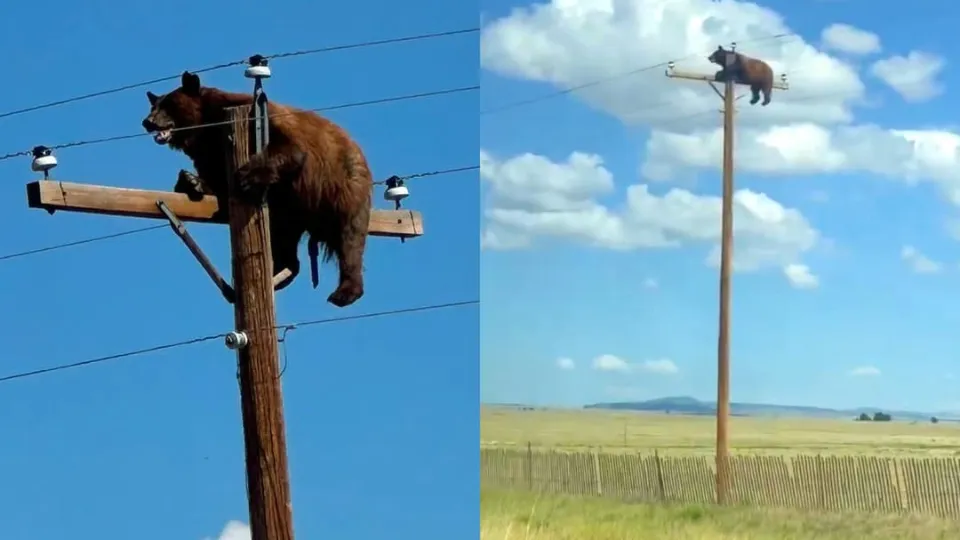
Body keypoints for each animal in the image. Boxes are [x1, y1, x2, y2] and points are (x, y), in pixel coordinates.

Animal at [141, 71, 372, 308]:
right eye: (153, 106)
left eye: (169, 104)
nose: (148, 122)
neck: (204, 127)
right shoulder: (209, 150)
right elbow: (214, 177)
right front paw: (191, 181)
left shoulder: (258, 118)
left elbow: (289, 148)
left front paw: (246, 176)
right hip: (289, 211)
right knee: (284, 240)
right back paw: (278, 274)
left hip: (342, 185)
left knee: (350, 236)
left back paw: (344, 292)